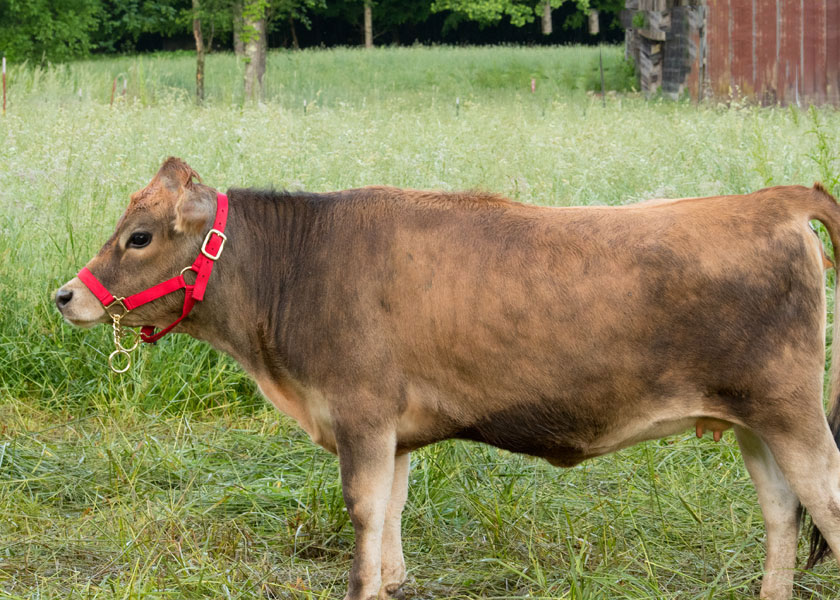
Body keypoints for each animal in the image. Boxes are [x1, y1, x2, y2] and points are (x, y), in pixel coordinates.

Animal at [56, 157, 840, 600]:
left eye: (139, 237)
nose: (66, 295)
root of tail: (772, 198)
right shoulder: (393, 431)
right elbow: (391, 517)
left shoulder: (361, 414)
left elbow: (364, 514)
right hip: (754, 421)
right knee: (782, 510)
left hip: (793, 413)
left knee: (821, 501)